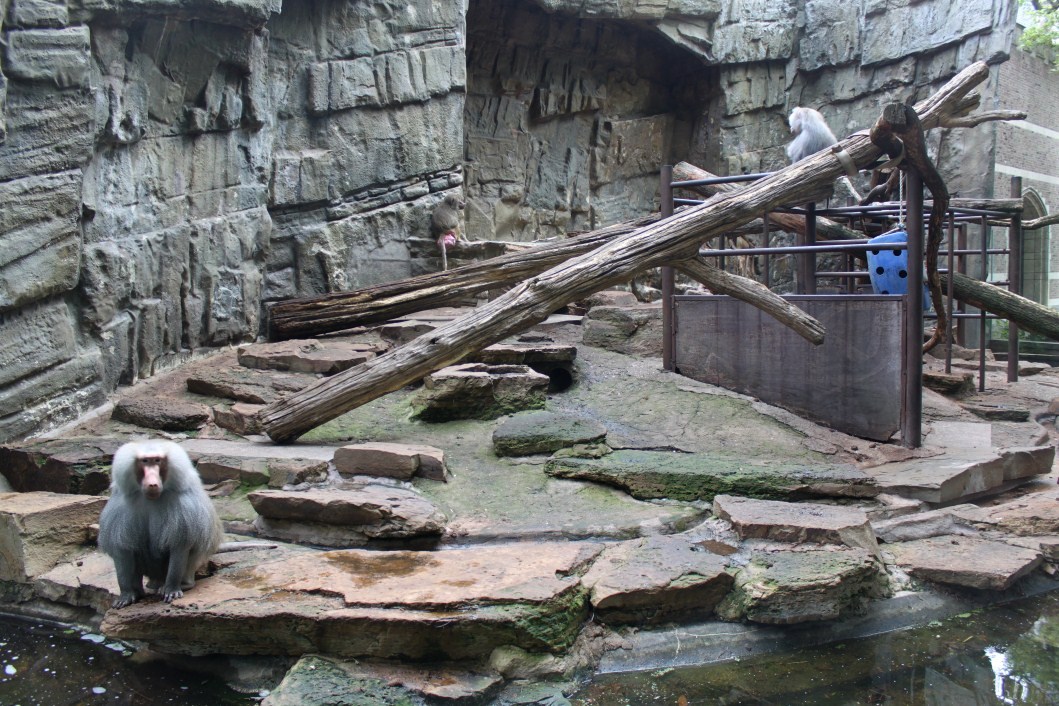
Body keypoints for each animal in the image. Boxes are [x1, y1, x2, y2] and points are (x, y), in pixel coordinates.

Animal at [98, 440, 224, 608]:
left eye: (157, 461)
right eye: (145, 461)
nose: (152, 483)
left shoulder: (182, 505)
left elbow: (180, 545)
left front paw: (171, 589)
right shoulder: (120, 506)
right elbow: (122, 549)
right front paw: (126, 594)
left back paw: (181, 585)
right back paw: (139, 591)